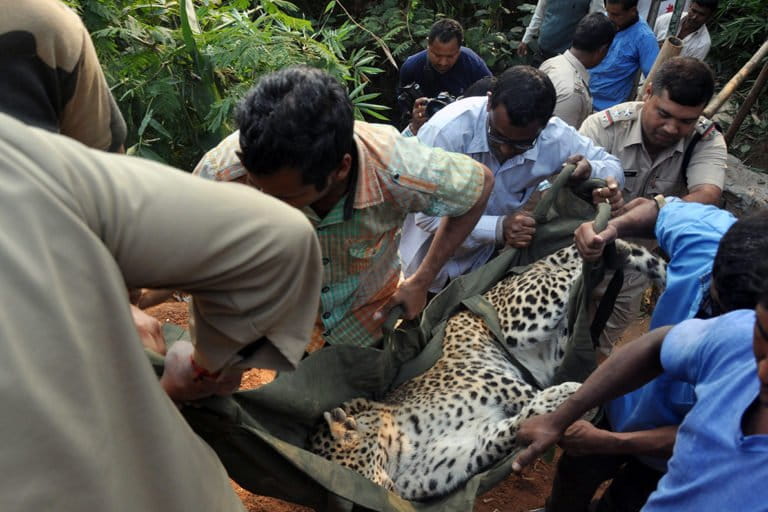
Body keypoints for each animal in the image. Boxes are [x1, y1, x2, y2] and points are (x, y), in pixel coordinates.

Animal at [310, 240, 664, 500]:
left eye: (357, 469)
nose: (388, 492)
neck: (399, 451)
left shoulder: (492, 381)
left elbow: (530, 397)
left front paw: (572, 398)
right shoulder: (468, 452)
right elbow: (512, 429)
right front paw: (562, 405)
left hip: (526, 316)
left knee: (579, 264)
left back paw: (606, 240)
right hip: (552, 338)